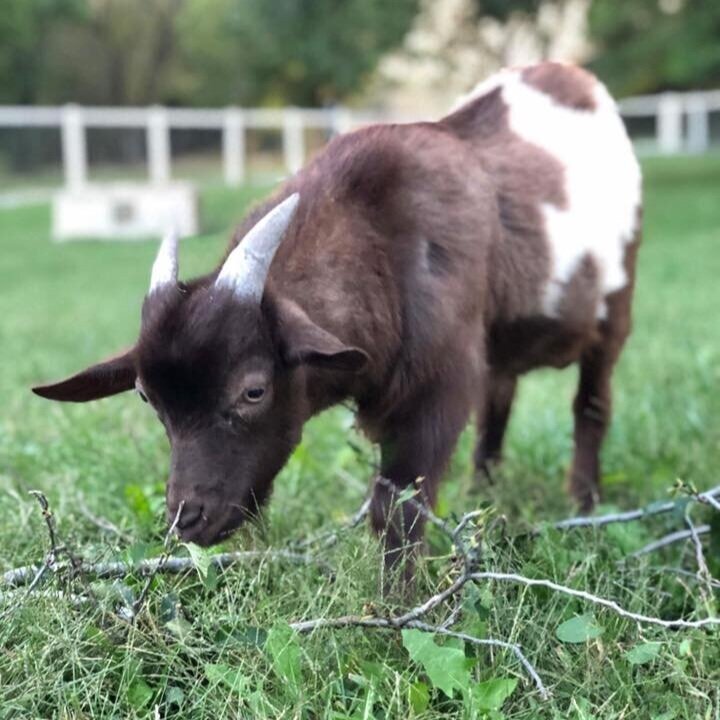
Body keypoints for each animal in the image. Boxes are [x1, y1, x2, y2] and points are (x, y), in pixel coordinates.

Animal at [33, 62, 642, 579]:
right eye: (146, 398)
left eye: (253, 391)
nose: (188, 519)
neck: (381, 237)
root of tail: (573, 76)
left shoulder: (437, 389)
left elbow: (395, 510)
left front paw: (395, 613)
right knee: (500, 400)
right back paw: (483, 494)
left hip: (617, 303)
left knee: (591, 403)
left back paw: (585, 504)